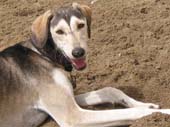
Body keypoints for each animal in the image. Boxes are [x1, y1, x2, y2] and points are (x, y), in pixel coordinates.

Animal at [0, 2, 170, 127]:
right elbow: (133, 112)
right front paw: (163, 113)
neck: (44, 54)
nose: (78, 52)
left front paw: (146, 105)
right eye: (59, 32)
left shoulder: (70, 97)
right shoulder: (72, 117)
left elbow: (110, 90)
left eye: (81, 25)